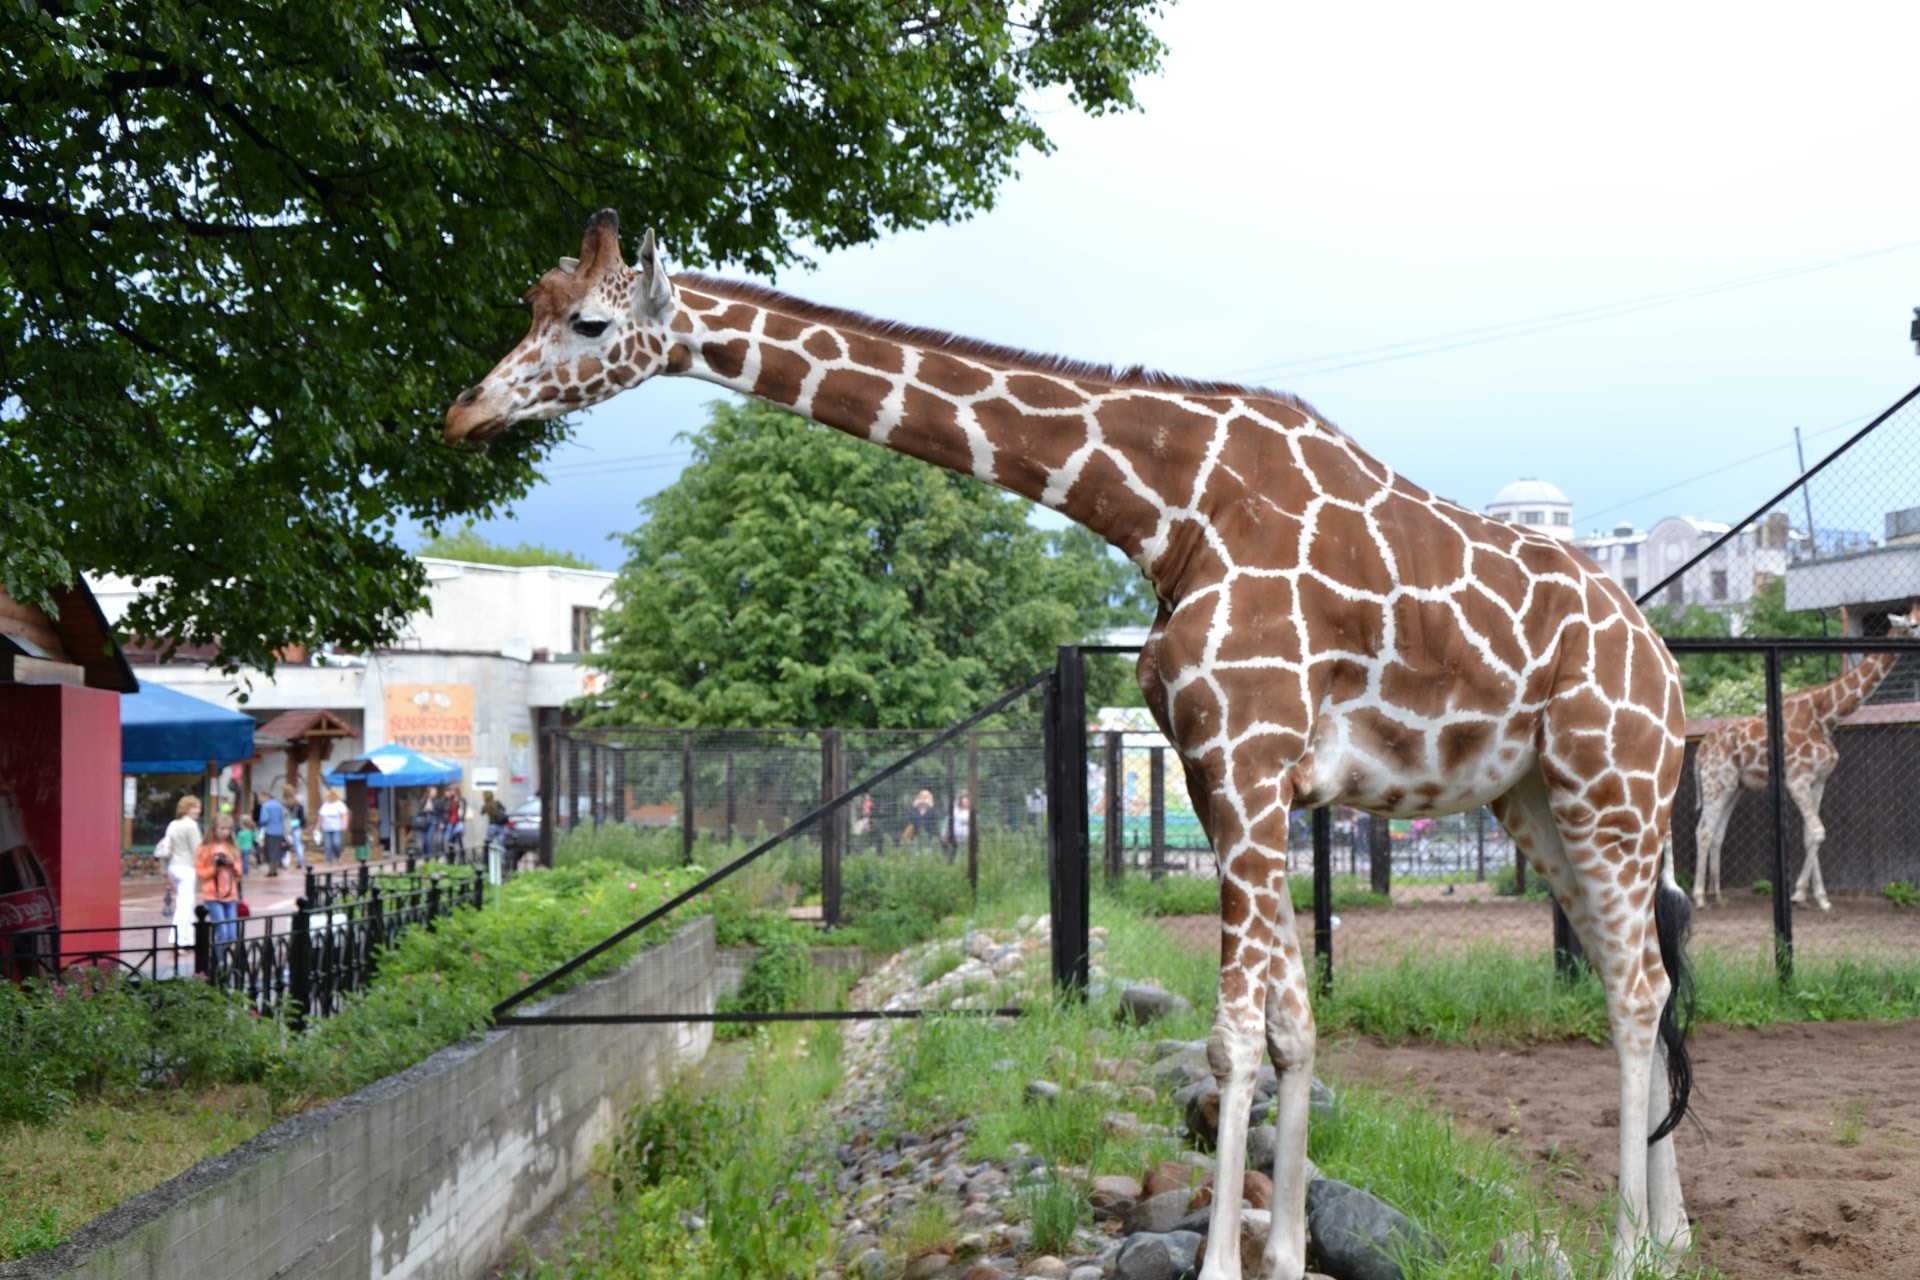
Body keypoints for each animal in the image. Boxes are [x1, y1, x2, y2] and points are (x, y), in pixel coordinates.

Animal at [445, 213, 1697, 1280]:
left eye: (587, 322)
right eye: (531, 304)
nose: (464, 413)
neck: (1167, 507)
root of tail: (1668, 664)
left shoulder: (1247, 758)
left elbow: (1236, 1035)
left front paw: (1221, 1263)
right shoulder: (1224, 772)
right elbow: (1293, 1024)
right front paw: (1290, 1248)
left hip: (1609, 781)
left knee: (1638, 983)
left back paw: (1628, 1247)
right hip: (1533, 799)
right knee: (1641, 973)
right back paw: (1672, 1234)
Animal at [1697, 602, 1920, 909]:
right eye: (1914, 625)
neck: (1826, 716)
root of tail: (1701, 747)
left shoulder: (1818, 780)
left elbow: (1809, 836)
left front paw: (1820, 897)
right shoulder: (1797, 780)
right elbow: (1817, 832)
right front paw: (1800, 893)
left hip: (1734, 787)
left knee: (1717, 832)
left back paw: (1717, 895)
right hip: (1714, 783)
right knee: (1704, 831)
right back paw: (1698, 898)